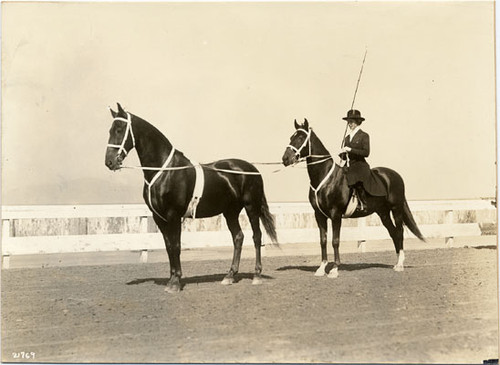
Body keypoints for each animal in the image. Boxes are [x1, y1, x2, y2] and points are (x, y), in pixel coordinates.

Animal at [105, 104, 278, 292]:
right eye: (110, 130)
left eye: (119, 129)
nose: (110, 162)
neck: (165, 171)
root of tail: (253, 169)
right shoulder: (159, 218)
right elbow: (168, 246)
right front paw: (171, 279)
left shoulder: (173, 215)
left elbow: (176, 246)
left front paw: (175, 283)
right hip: (230, 212)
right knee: (238, 237)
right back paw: (229, 276)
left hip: (251, 207)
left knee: (257, 237)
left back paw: (256, 275)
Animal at [284, 118, 424, 276]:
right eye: (291, 137)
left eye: (301, 138)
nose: (285, 159)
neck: (325, 178)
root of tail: (395, 175)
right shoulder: (319, 215)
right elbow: (323, 240)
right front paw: (321, 268)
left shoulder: (335, 214)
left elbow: (335, 241)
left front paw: (334, 269)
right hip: (383, 213)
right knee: (393, 233)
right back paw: (396, 262)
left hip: (396, 209)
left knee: (399, 232)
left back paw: (400, 264)